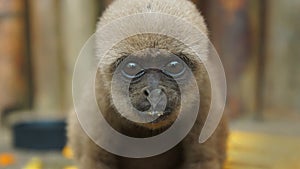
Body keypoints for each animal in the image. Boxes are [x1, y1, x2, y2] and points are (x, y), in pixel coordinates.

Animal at [68, 0, 227, 169]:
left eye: (174, 66)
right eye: (131, 67)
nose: (154, 92)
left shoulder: (205, 98)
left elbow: (202, 161)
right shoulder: (97, 104)